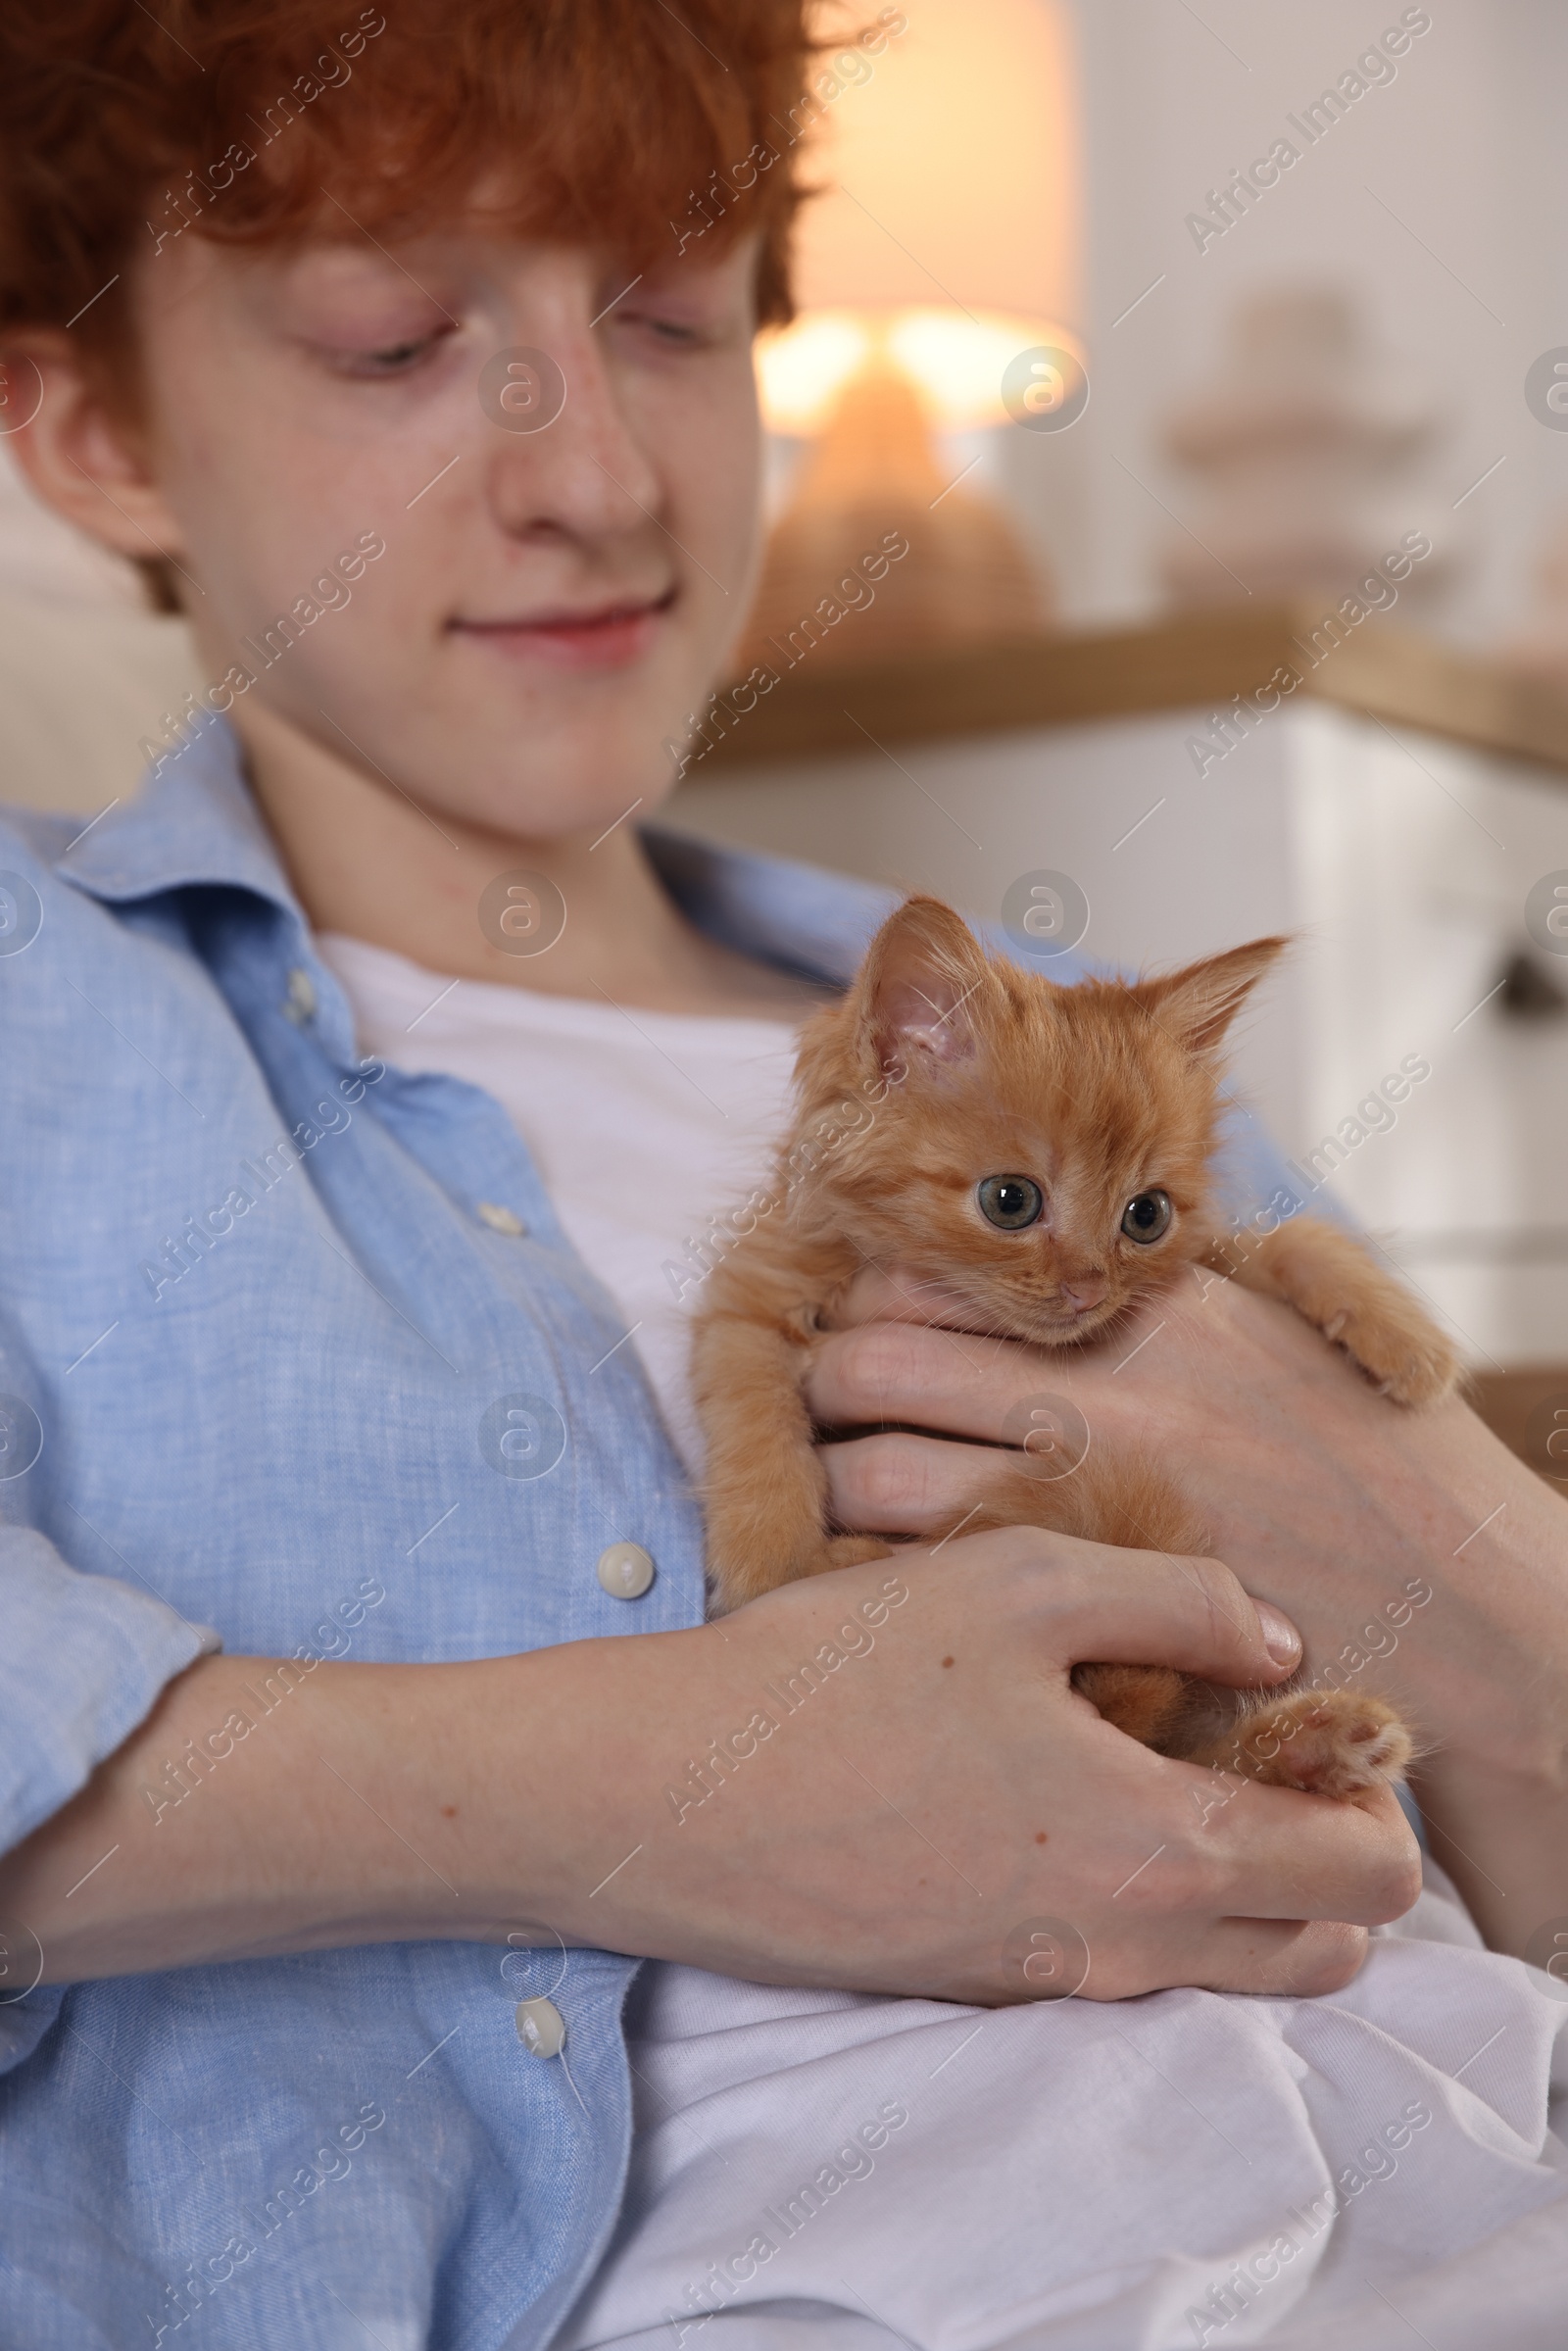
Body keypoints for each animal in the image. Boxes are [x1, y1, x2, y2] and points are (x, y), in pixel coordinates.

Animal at [700, 893, 1457, 1795]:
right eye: (1010, 1200)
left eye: (1146, 1215)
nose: (1090, 1286)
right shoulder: (754, 1292)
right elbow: (751, 1413)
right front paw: (772, 1558)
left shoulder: (1213, 1253)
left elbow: (1292, 1237)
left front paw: (1405, 1337)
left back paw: (1323, 1740)